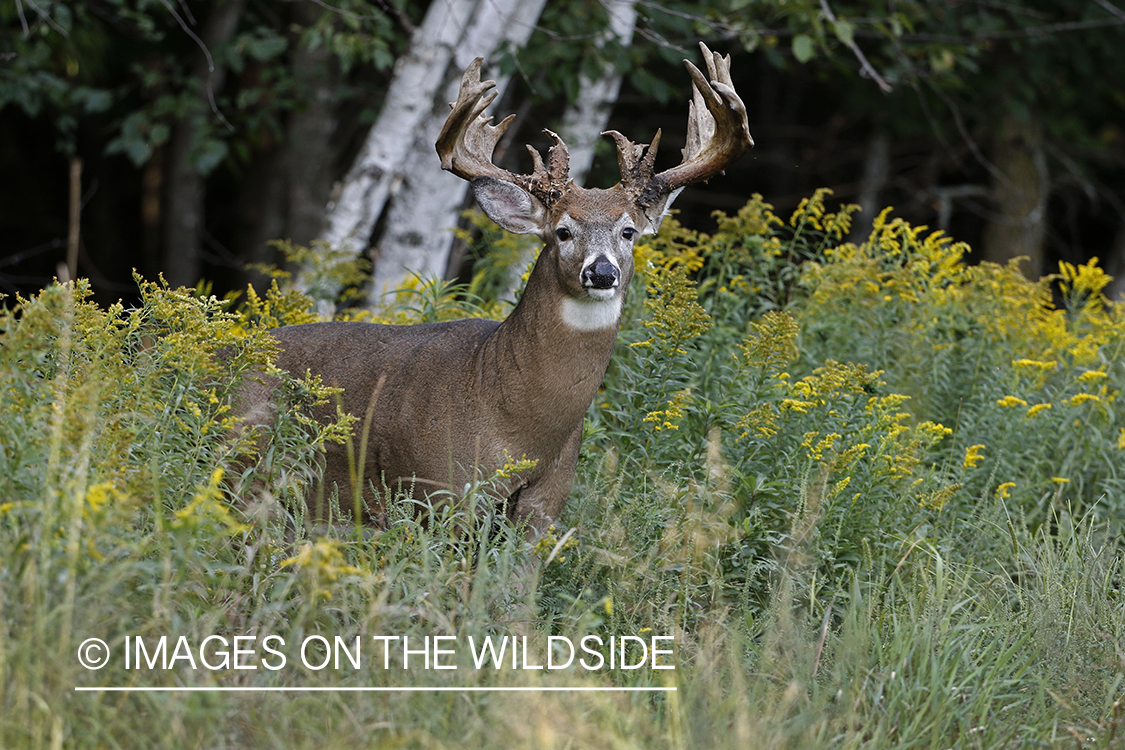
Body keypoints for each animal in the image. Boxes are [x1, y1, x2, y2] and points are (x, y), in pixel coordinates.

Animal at [240, 44, 751, 539]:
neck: (516, 420)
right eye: (562, 231)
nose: (602, 273)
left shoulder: (544, 505)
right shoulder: (438, 489)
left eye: (628, 232)